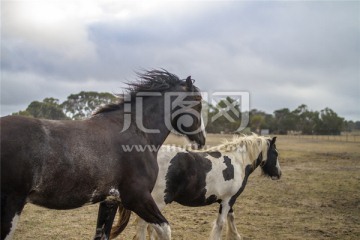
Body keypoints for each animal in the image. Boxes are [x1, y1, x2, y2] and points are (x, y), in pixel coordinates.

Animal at [0, 69, 205, 240]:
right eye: (198, 102)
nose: (201, 140)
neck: (136, 132)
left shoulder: (110, 201)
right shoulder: (138, 197)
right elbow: (165, 229)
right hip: (11, 206)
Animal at [109, 134, 282, 239]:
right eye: (276, 153)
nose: (279, 174)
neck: (237, 162)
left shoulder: (228, 200)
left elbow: (231, 219)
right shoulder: (228, 200)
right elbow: (221, 224)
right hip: (154, 203)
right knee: (144, 225)